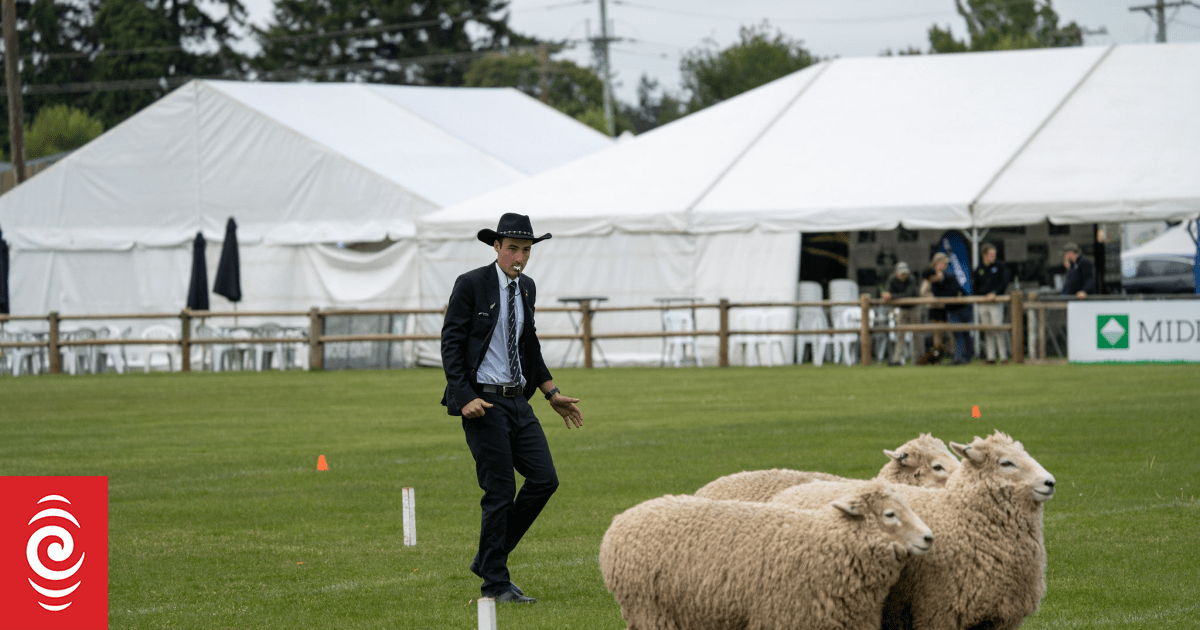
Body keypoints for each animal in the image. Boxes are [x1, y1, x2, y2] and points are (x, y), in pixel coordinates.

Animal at [770, 431, 1056, 630]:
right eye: (1006, 463)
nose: (1050, 482)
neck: (960, 515)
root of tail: (793, 490)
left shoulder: (1002, 616)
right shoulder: (938, 611)